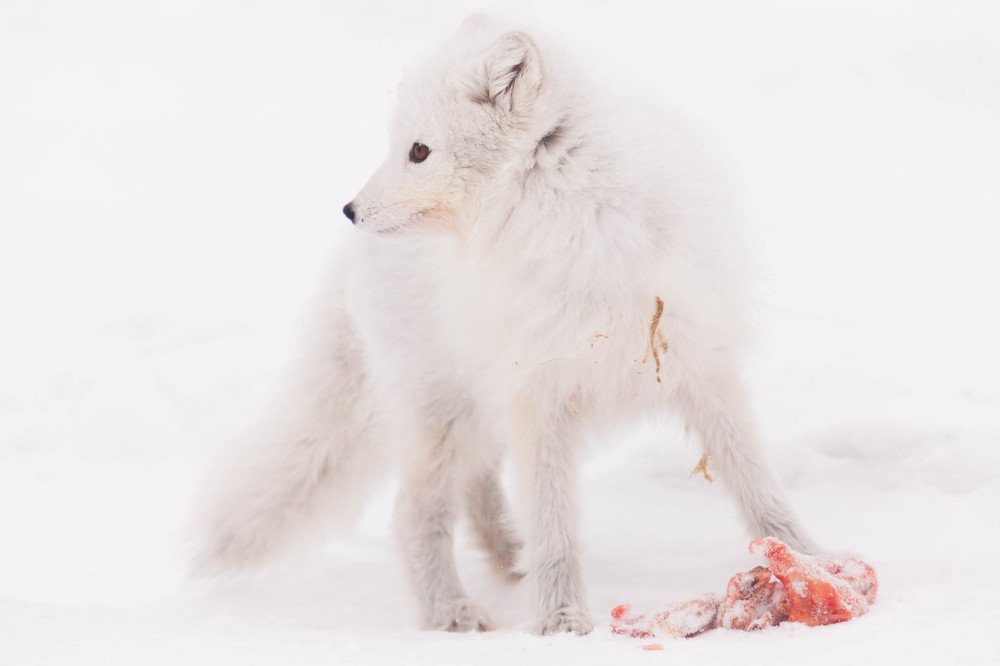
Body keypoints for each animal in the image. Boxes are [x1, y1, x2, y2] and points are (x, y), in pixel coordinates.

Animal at [194, 16, 816, 635]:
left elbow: (758, 484)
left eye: (418, 151)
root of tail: (348, 260)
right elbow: (555, 526)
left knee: (476, 485)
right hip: (443, 414)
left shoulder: (699, 362)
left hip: (476, 410)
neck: (578, 219)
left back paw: (506, 555)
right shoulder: (538, 393)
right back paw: (450, 611)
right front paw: (560, 619)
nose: (350, 210)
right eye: (402, 147)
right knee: (414, 513)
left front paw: (805, 558)